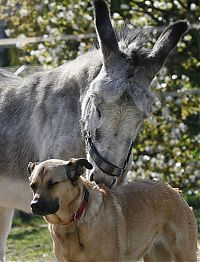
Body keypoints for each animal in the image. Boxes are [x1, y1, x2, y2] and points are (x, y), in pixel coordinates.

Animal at [28, 159, 198, 260]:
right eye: (33, 186)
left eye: (52, 183)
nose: (34, 205)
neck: (73, 221)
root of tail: (173, 190)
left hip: (184, 253)